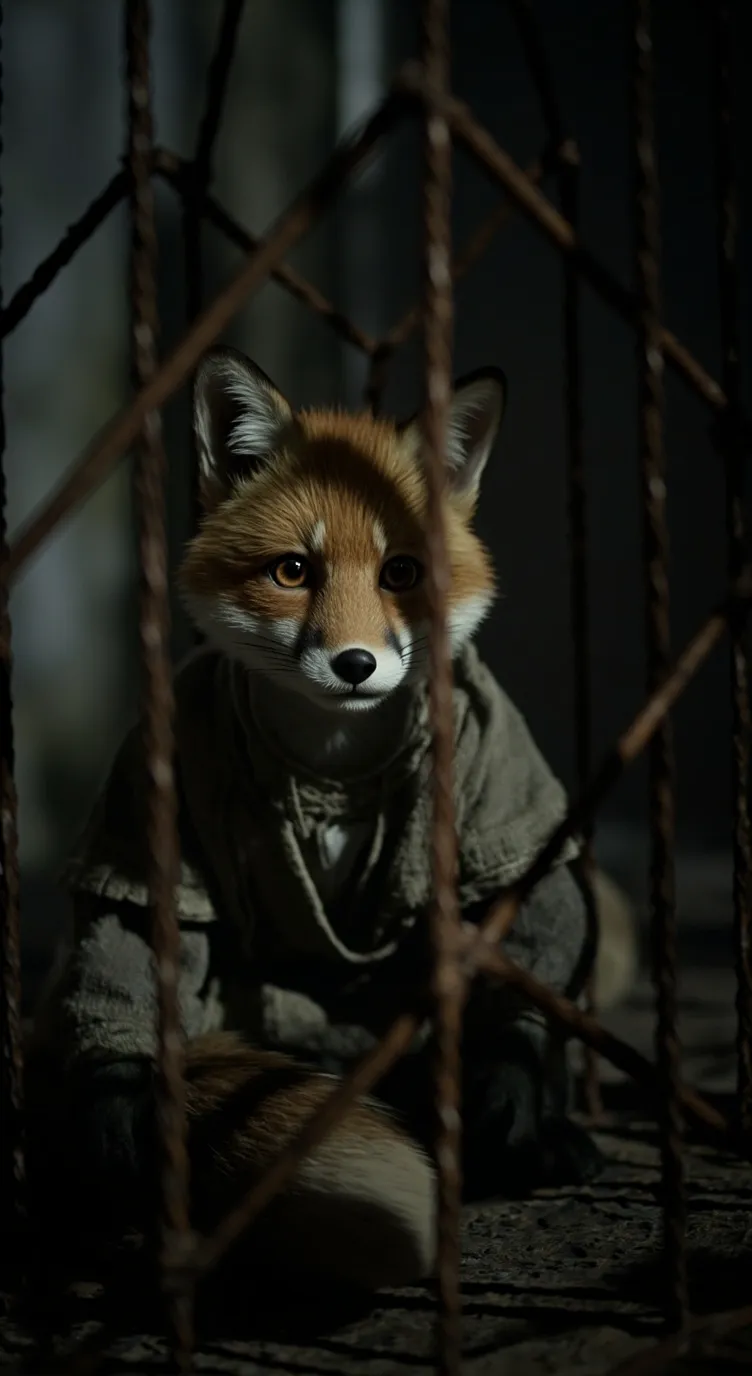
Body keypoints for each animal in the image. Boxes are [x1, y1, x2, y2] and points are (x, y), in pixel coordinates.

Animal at [26, 347, 637, 1297]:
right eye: (292, 572)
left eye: (402, 572)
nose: (356, 665)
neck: (334, 764)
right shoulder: (167, 755)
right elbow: (132, 928)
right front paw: (118, 1113)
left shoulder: (492, 755)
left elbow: (523, 930)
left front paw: (510, 1101)